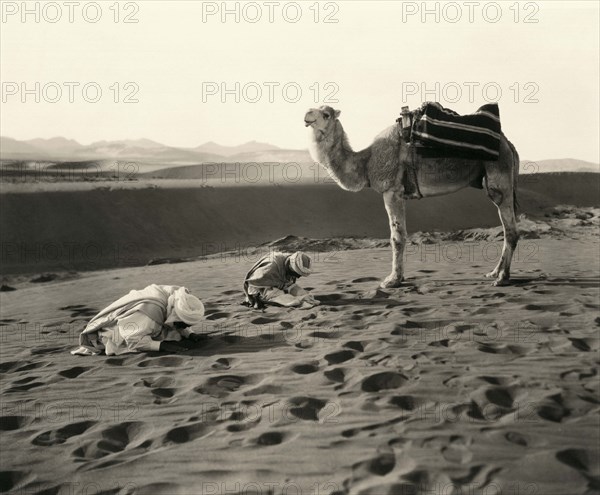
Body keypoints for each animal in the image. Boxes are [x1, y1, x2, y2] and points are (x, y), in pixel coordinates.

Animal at [304, 106, 520, 288]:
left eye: (326, 114)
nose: (307, 114)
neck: (366, 162)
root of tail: (508, 144)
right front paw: (397, 277)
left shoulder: (392, 191)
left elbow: (397, 237)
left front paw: (392, 280)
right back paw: (494, 272)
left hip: (499, 175)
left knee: (510, 229)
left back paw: (502, 278)